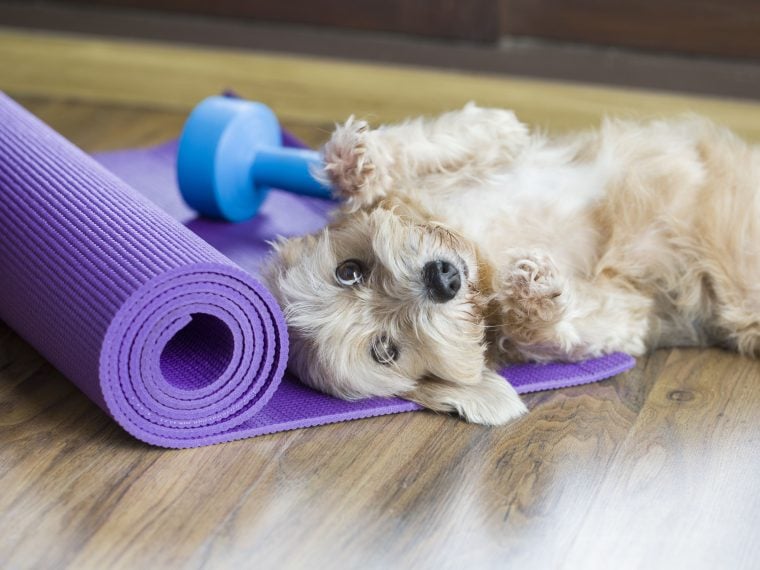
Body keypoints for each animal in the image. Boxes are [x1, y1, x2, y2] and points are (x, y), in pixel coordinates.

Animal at [262, 102, 760, 424]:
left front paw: (356, 163)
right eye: (385, 350)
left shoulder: (493, 139)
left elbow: (458, 133)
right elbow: (560, 328)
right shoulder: (623, 311)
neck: (481, 256)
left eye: (349, 271)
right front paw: (532, 295)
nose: (441, 278)